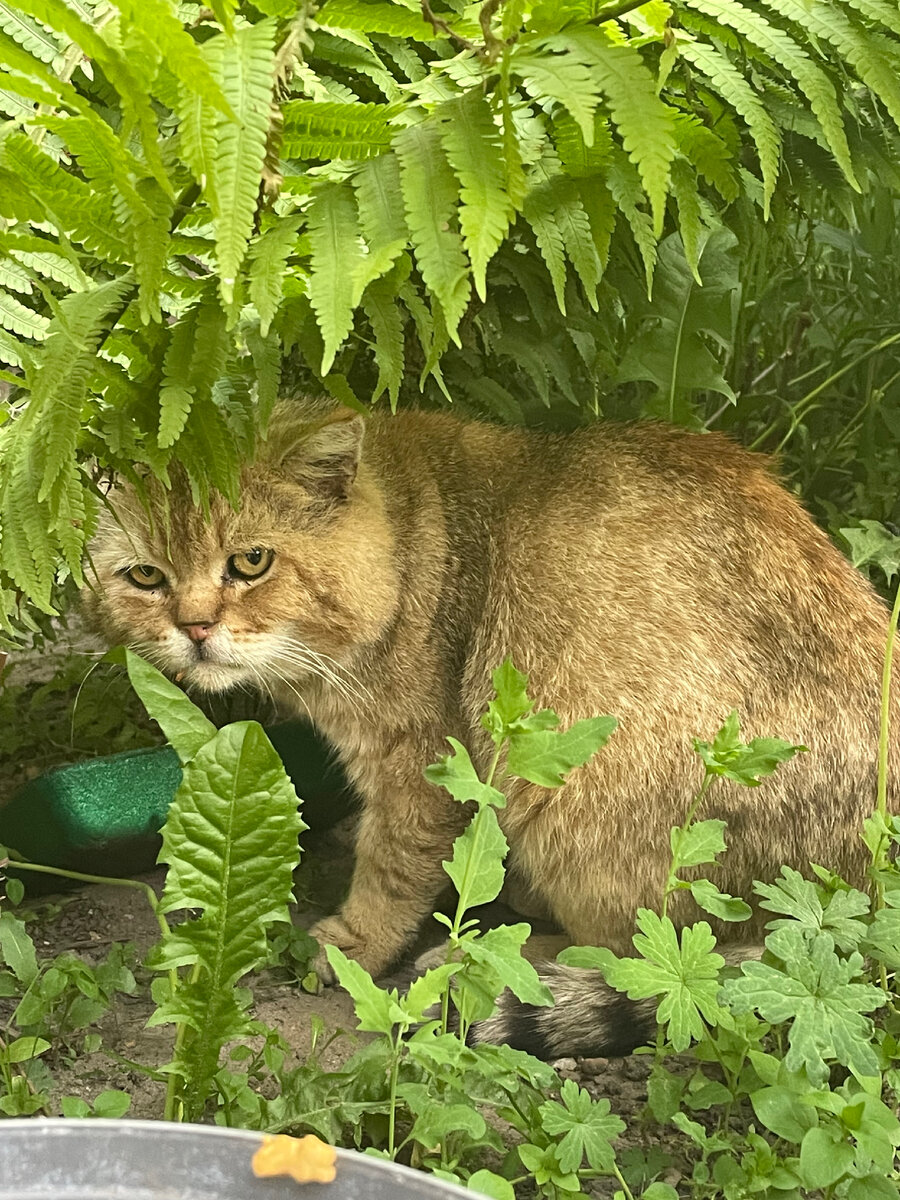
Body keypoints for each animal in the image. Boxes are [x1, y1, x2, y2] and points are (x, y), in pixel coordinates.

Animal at [82, 405, 897, 1060]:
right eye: (146, 576)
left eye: (251, 561)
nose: (194, 628)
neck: (414, 533)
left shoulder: (423, 765)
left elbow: (392, 867)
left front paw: (354, 943)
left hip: (581, 808)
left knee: (661, 958)